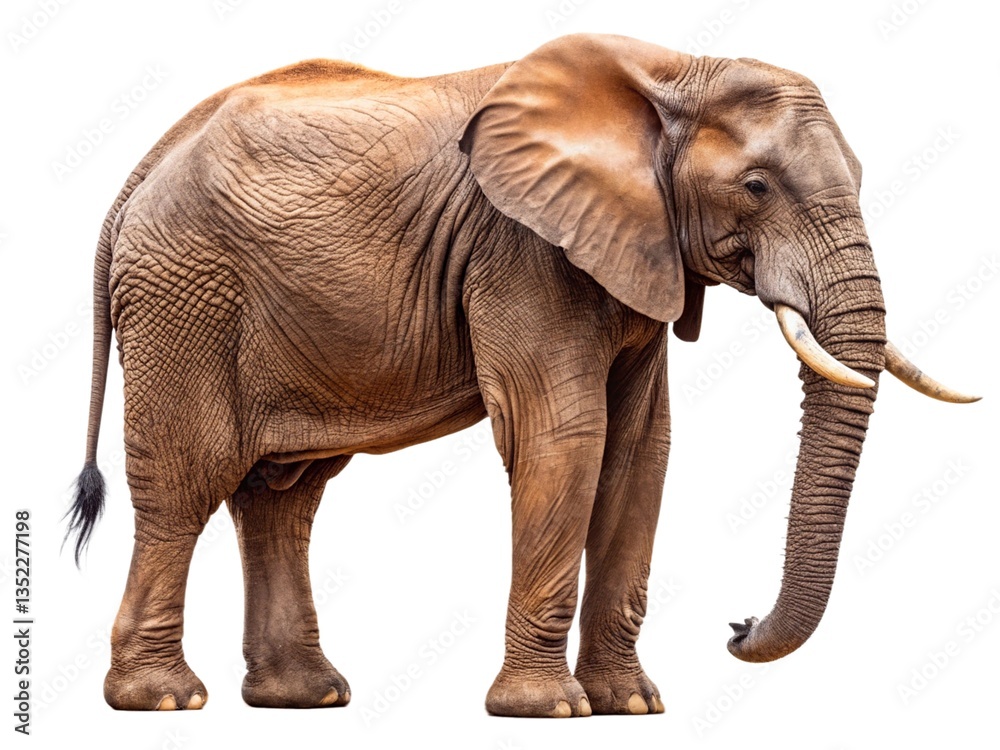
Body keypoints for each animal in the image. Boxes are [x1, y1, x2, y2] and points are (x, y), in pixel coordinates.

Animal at [66, 33, 978, 717]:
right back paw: (165, 700)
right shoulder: (524, 251)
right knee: (189, 479)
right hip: (184, 296)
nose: (736, 622)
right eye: (755, 186)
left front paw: (630, 706)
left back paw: (308, 697)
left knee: (283, 498)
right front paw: (550, 711)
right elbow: (565, 436)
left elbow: (640, 451)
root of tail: (140, 171)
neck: (671, 69)